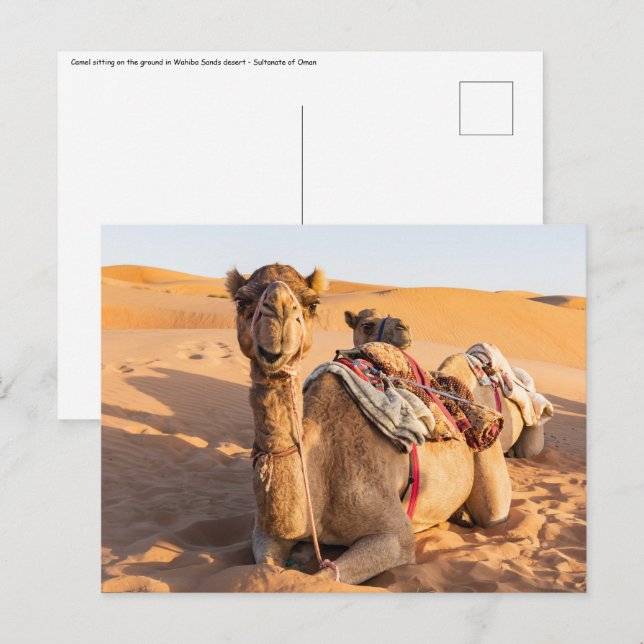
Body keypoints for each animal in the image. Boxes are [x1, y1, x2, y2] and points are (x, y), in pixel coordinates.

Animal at [226, 263, 511, 585]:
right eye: (241, 301)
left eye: (312, 303)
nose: (279, 315)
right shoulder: (265, 532)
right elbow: (266, 567)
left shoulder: (396, 535)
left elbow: (322, 578)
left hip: (489, 468)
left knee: (493, 512)